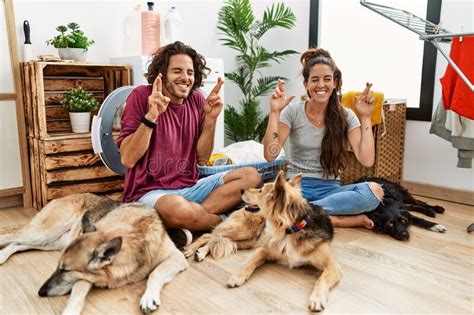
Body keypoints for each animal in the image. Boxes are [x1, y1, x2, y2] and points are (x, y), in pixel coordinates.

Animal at [0, 194, 189, 314]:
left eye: (64, 270)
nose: (40, 292)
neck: (134, 238)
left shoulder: (177, 258)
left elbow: (156, 273)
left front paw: (149, 297)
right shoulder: (84, 278)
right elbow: (78, 294)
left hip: (52, 242)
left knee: (17, 244)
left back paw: (3, 256)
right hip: (44, 233)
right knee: (9, 237)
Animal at [227, 173, 340, 314]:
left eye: (260, 190)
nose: (241, 190)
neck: (291, 230)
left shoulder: (333, 266)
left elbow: (322, 279)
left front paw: (317, 298)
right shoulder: (264, 250)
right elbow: (249, 262)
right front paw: (237, 277)